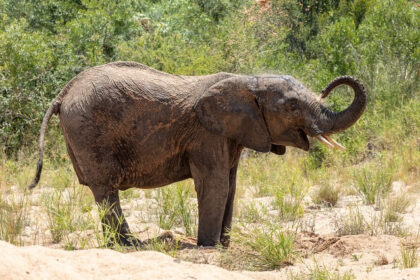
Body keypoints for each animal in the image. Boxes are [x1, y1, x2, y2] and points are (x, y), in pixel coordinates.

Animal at [27, 61, 366, 247]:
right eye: (292, 106)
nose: (329, 86)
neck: (249, 80)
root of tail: (63, 92)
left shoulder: (232, 134)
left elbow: (231, 185)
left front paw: (225, 244)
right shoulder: (206, 134)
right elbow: (214, 184)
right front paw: (209, 247)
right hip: (89, 130)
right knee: (106, 189)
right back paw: (130, 244)